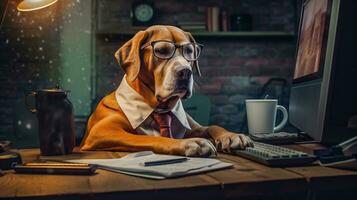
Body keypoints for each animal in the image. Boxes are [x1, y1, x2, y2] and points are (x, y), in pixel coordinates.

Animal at [80, 24, 253, 156]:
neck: (160, 107)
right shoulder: (103, 131)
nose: (185, 72)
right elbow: (150, 137)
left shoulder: (191, 127)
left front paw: (231, 136)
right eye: (162, 51)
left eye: (189, 51)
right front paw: (188, 143)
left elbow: (212, 126)